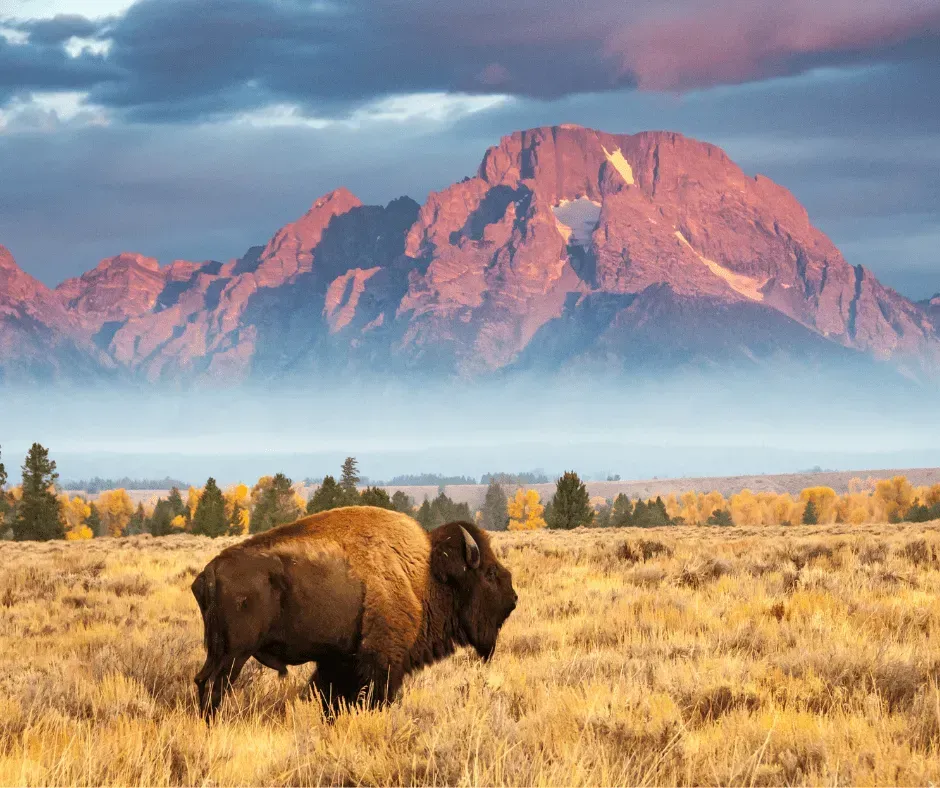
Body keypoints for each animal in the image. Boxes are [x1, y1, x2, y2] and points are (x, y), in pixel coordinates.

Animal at [191, 505, 517, 719]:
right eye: (489, 573)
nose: (513, 598)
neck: (425, 574)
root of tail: (210, 572)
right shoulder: (382, 662)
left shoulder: (337, 661)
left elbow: (329, 698)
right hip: (234, 654)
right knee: (215, 686)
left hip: (218, 652)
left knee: (201, 680)